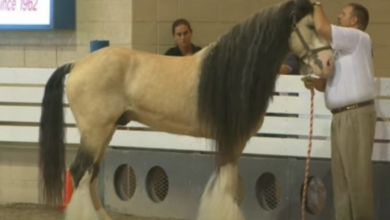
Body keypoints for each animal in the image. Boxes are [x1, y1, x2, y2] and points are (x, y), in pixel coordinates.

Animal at [38, 0, 334, 218]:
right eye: (311, 25)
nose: (330, 63)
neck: (230, 71)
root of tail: (77, 64)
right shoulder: (230, 141)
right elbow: (226, 189)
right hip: (95, 132)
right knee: (80, 172)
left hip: (105, 132)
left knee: (91, 176)